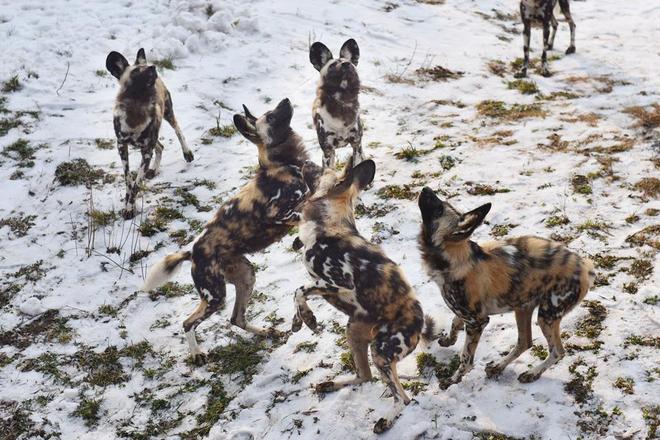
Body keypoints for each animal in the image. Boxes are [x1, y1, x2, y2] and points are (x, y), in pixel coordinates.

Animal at [105, 48, 193, 220]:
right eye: (136, 71)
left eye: (146, 67)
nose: (153, 67)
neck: (137, 107)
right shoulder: (122, 146)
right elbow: (129, 180)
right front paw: (128, 203)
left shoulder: (146, 151)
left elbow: (136, 184)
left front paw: (130, 208)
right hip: (151, 139)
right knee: (160, 146)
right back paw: (154, 169)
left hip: (168, 114)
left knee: (178, 130)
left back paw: (187, 153)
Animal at [141, 99, 310, 364]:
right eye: (271, 117)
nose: (285, 100)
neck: (282, 164)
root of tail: (192, 253)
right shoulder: (278, 213)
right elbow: (304, 215)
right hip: (215, 297)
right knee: (188, 323)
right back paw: (197, 353)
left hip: (246, 276)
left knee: (236, 318)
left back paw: (266, 332)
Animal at [292, 158, 430, 434]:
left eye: (321, 171)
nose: (305, 162)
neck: (326, 225)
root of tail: (419, 324)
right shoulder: (325, 284)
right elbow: (299, 294)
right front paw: (298, 321)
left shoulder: (338, 281)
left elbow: (300, 290)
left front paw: (309, 318)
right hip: (353, 333)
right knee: (365, 377)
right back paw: (331, 384)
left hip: (381, 351)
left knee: (403, 398)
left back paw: (386, 420)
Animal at [418, 187, 600, 386]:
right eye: (441, 204)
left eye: (439, 210)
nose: (426, 189)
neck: (454, 259)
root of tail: (585, 267)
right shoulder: (467, 314)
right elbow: (454, 322)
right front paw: (448, 340)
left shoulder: (477, 322)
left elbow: (465, 358)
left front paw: (453, 380)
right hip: (523, 308)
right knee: (525, 342)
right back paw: (498, 367)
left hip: (546, 317)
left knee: (557, 352)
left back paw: (532, 374)